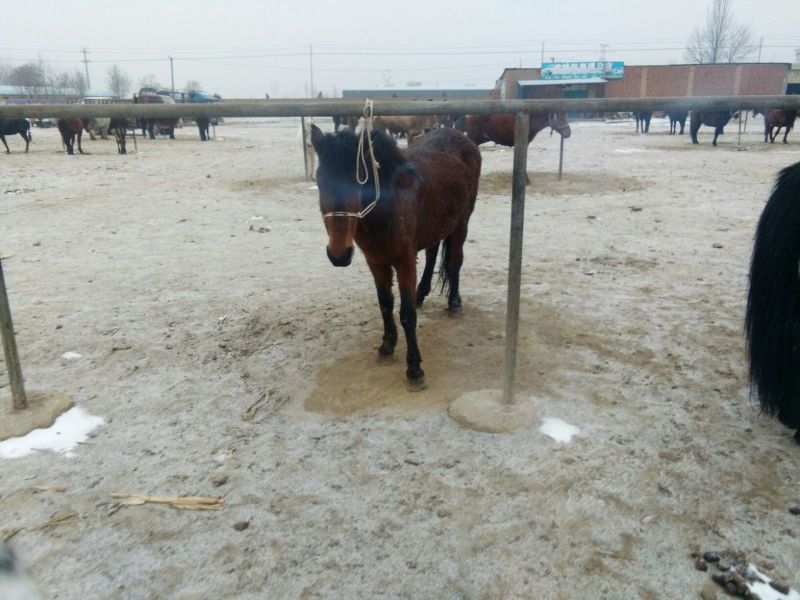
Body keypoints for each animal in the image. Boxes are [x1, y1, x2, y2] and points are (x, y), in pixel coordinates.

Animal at [309, 124, 481, 389]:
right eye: (320, 181)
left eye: (358, 182)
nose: (338, 255)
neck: (387, 206)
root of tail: (463, 138)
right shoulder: (376, 262)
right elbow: (385, 304)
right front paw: (387, 345)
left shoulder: (404, 261)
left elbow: (407, 314)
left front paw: (414, 368)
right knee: (432, 254)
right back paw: (421, 293)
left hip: (462, 221)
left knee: (455, 261)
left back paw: (454, 302)